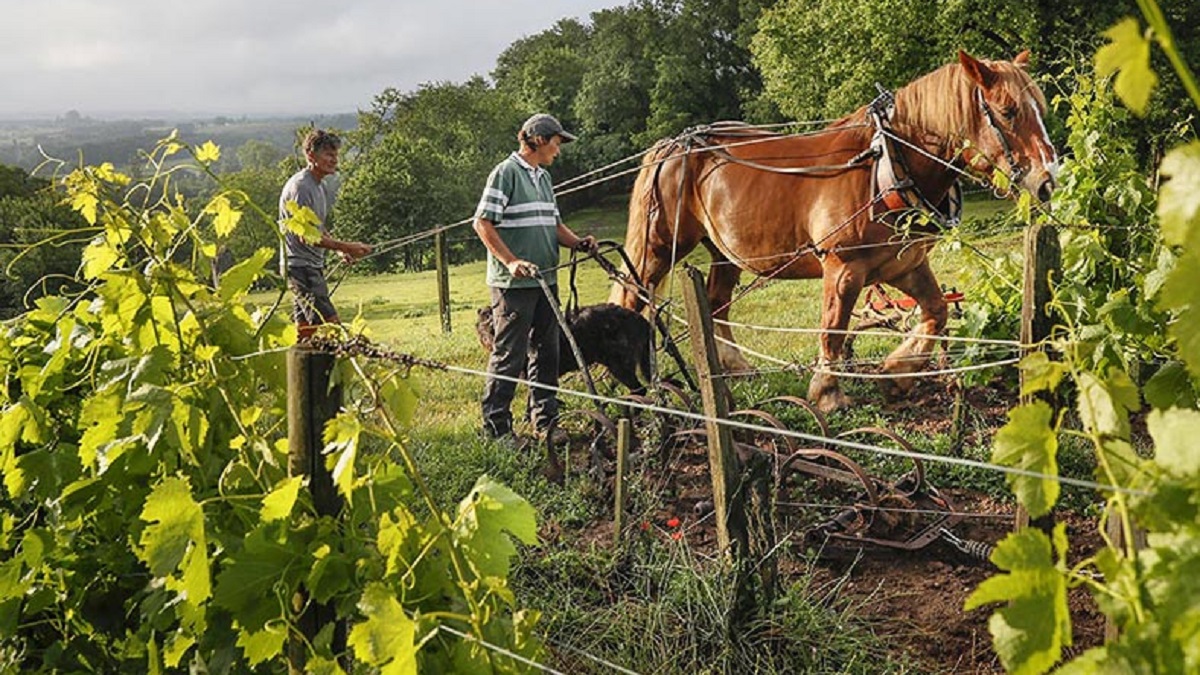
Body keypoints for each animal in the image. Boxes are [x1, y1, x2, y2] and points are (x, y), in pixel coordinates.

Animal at [472, 300, 652, 391]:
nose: (490, 326)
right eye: (484, 316)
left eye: (492, 315)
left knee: (640, 391)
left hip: (620, 365)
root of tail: (641, 320)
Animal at [609, 49, 1060, 410]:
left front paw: (896, 375)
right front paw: (828, 393)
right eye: (1008, 111)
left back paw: (734, 368)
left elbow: (936, 313)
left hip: (723, 251)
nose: (1047, 180)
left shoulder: (905, 266)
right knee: (631, 297)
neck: (886, 166)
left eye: (1038, 108)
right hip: (658, 245)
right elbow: (833, 329)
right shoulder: (843, 267)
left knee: (717, 304)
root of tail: (674, 144)